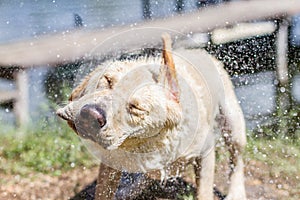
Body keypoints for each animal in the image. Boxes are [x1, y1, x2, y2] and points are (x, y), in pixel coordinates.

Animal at [56, 33, 246, 199]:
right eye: (108, 80)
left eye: (136, 107)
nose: (90, 114)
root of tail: (200, 51)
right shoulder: (110, 164)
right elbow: (104, 191)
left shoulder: (205, 152)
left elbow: (204, 191)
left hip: (232, 123)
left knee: (237, 158)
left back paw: (236, 192)